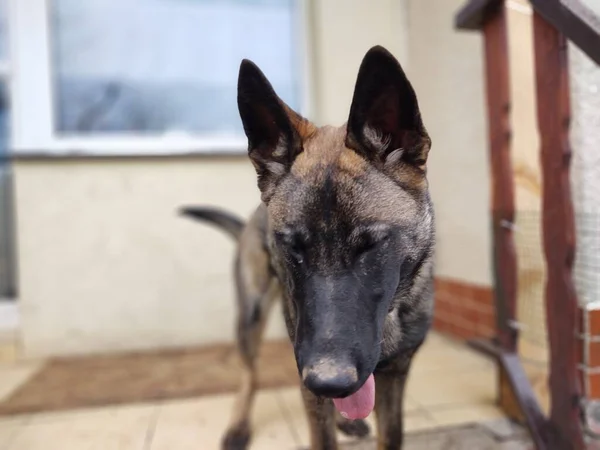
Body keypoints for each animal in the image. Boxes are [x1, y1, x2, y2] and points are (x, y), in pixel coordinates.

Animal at [180, 45, 434, 450]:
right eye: (291, 247)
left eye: (371, 246)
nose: (328, 379)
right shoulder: (312, 377)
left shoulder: (394, 374)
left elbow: (388, 432)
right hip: (252, 316)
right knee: (249, 374)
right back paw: (239, 424)